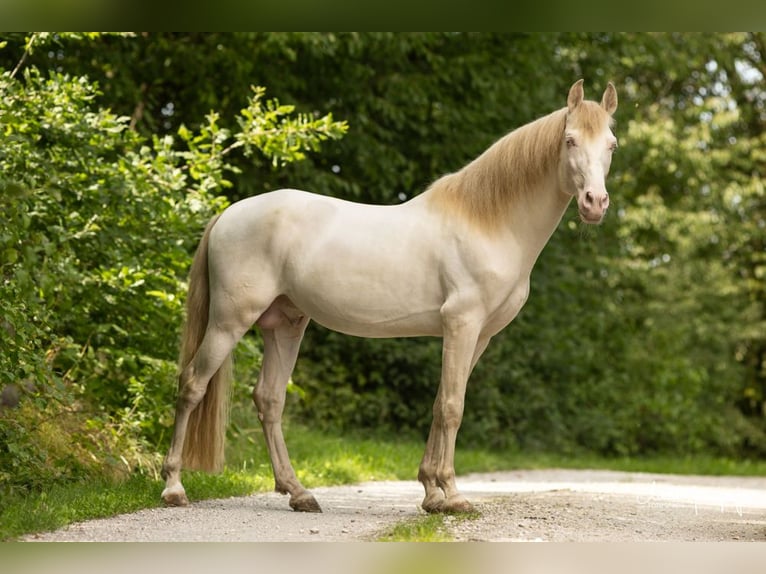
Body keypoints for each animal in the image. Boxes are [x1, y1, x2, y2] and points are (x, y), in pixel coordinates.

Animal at [160, 79, 618, 514]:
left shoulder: (479, 335)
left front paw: (432, 494)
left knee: (269, 400)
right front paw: (452, 495)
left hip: (285, 324)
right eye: (570, 140)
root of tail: (228, 213)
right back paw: (174, 487)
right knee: (193, 384)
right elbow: (452, 406)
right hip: (229, 321)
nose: (595, 203)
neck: (488, 223)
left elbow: (439, 404)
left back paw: (299, 493)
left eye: (611, 145)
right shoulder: (462, 324)